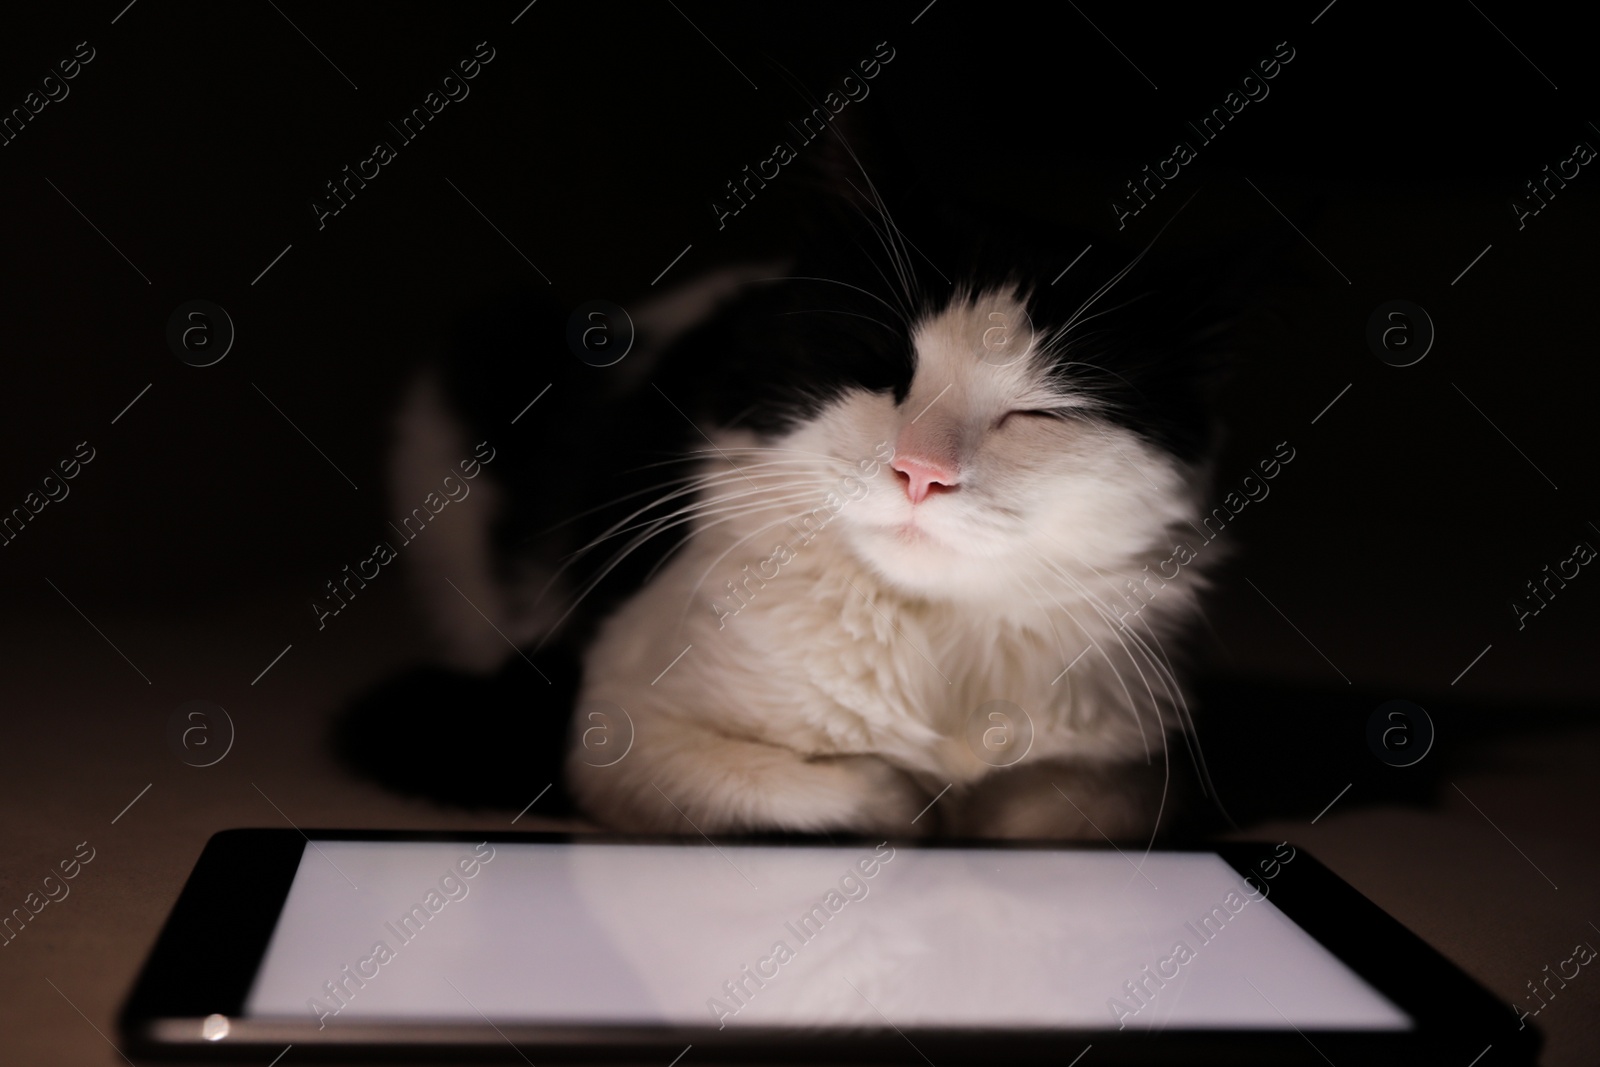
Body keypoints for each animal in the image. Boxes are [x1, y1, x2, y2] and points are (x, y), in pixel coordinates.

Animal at [344, 129, 1228, 844]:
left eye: (1037, 412)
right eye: (879, 366)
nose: (922, 472)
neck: (932, 649)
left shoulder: (1137, 754)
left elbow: (1057, 803)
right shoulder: (621, 730)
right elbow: (865, 795)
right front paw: (921, 800)